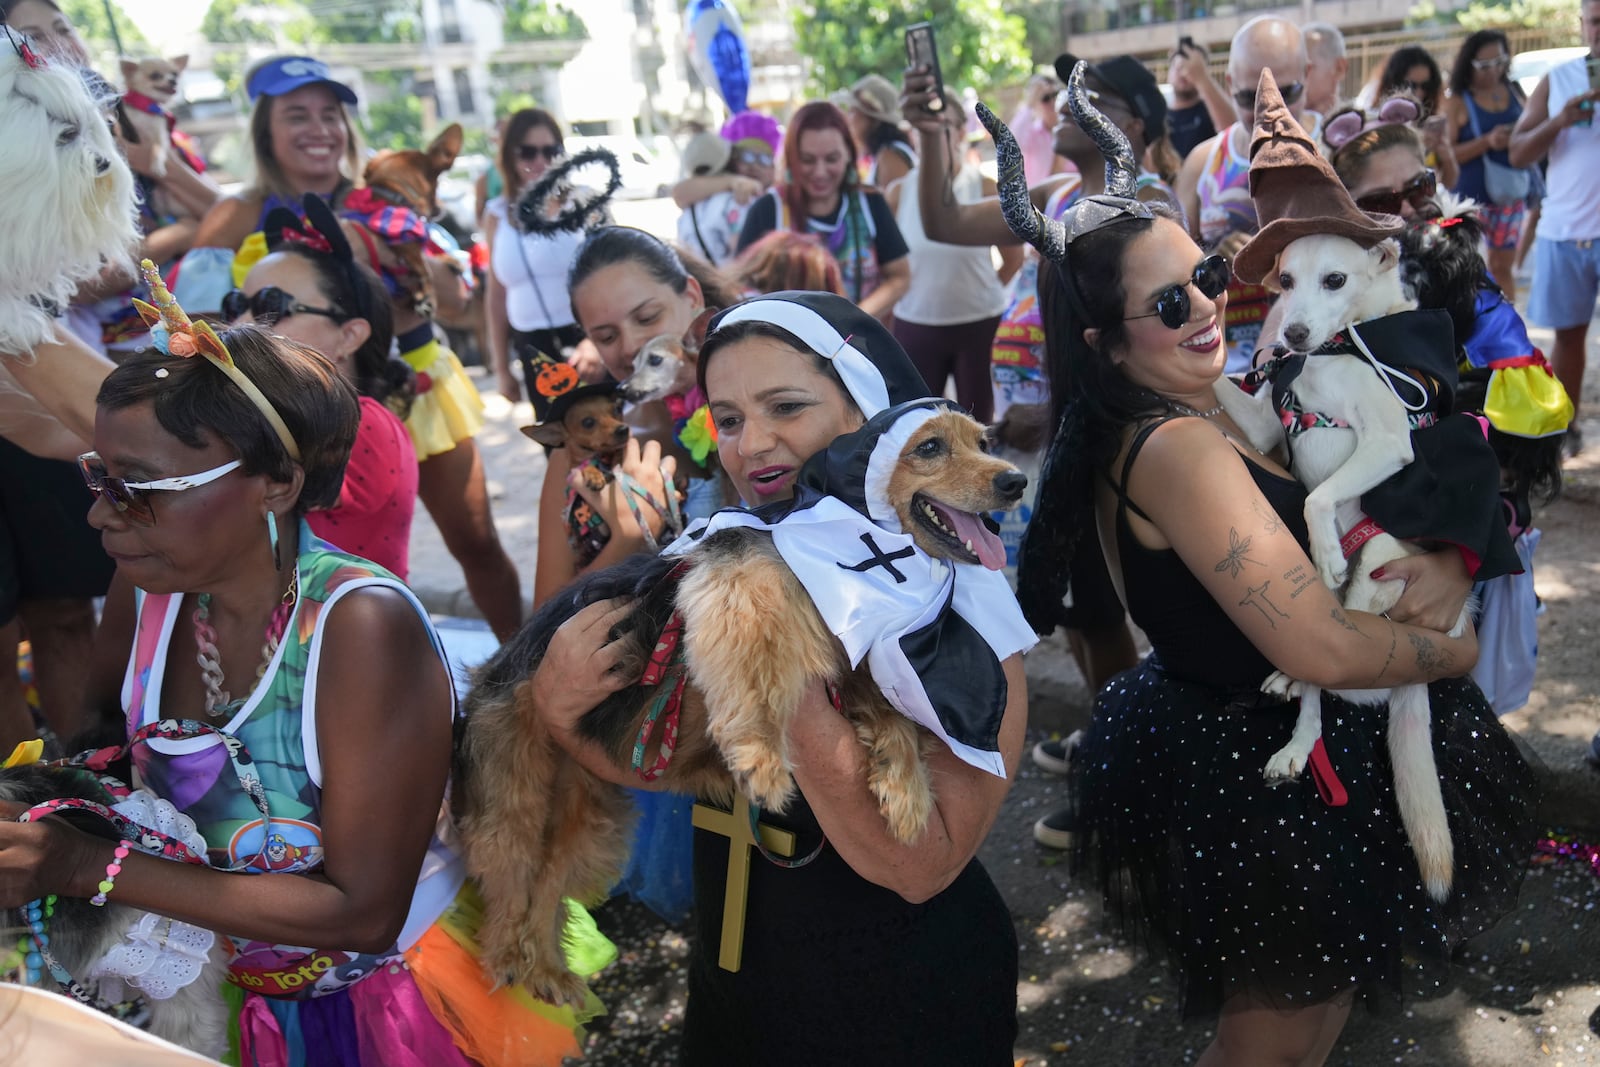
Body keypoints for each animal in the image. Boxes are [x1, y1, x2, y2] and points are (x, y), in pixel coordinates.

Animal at [1216, 233, 1459, 902]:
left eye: (1335, 279)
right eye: (1284, 279)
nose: (1292, 334)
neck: (1331, 353)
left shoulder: (1388, 442)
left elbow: (1317, 498)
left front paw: (1326, 545)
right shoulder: (1267, 421)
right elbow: (1222, 383)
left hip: (1374, 571)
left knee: (1340, 675)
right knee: (1314, 683)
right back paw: (1292, 726)